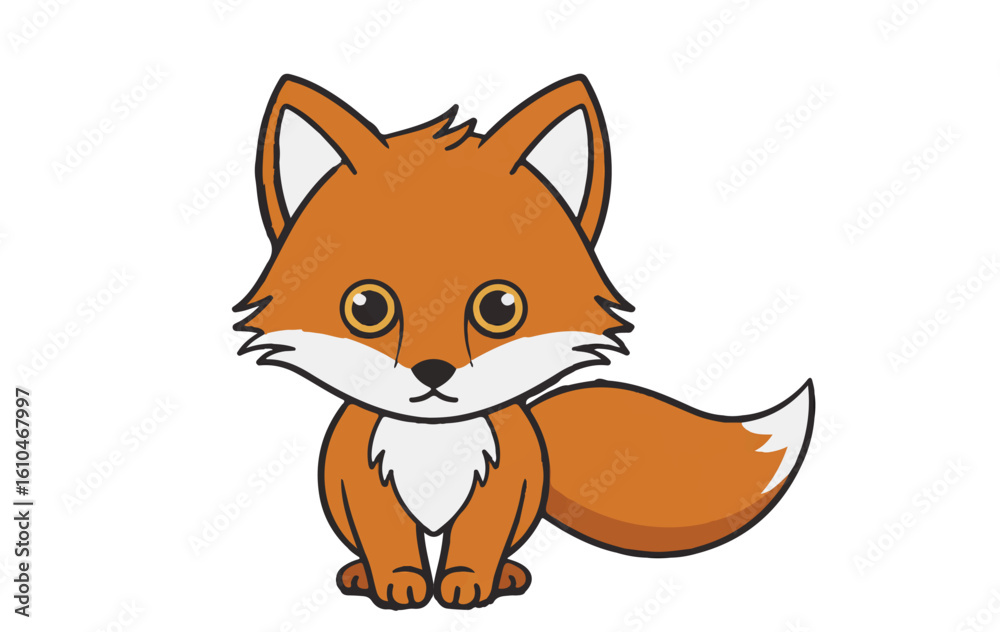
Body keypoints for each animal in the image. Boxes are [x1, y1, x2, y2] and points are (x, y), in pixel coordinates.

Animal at [233, 74, 816, 610]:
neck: (433, 439)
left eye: (499, 308)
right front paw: (399, 586)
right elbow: (389, 544)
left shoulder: (501, 486)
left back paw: (507, 577)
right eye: (366, 308)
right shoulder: (366, 485)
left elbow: (476, 544)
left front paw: (466, 586)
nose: (433, 371)